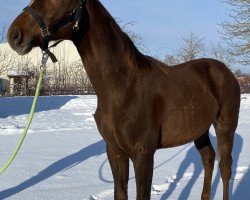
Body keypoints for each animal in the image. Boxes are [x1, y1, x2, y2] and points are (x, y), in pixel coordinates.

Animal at [7, 0, 240, 200]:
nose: (14, 34)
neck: (122, 87)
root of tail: (225, 71)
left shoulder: (143, 155)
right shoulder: (115, 151)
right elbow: (120, 192)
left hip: (225, 127)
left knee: (225, 168)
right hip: (199, 130)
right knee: (208, 159)